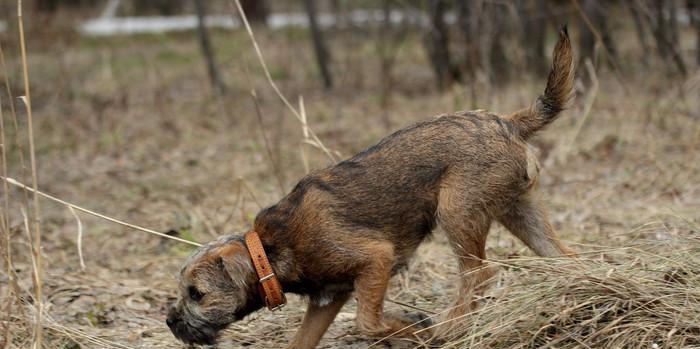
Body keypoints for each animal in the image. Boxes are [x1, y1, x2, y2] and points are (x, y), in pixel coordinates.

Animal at [168, 25, 576, 346]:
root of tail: (507, 122)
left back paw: (450, 328)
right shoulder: (326, 301)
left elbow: (368, 322)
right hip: (520, 211)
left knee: (480, 275)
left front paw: (415, 329)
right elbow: (303, 341)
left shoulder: (375, 260)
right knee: (563, 257)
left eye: (197, 294)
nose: (171, 322)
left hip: (457, 213)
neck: (269, 249)